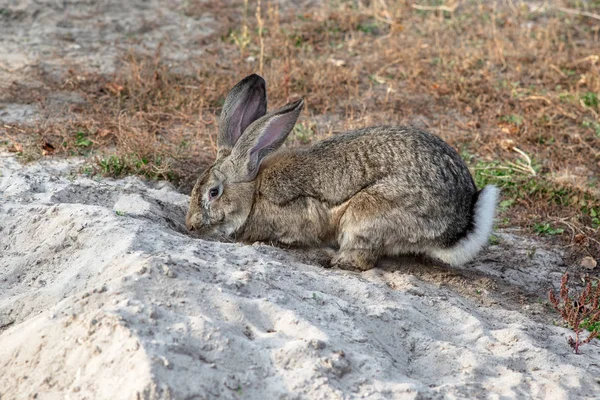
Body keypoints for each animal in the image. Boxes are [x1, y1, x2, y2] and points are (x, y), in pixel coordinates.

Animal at [185, 73, 500, 270]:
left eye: (214, 192)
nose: (190, 225)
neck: (254, 193)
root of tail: (459, 225)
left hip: (367, 213)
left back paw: (338, 261)